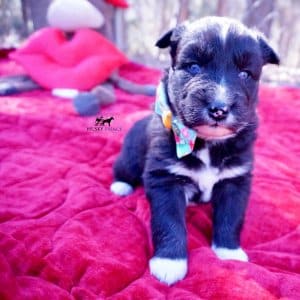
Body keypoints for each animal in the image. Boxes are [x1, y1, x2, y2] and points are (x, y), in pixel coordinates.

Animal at [110, 16, 278, 284]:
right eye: (194, 67)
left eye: (245, 73)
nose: (219, 109)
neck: (206, 142)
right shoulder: (165, 179)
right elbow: (169, 222)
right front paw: (170, 262)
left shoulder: (236, 180)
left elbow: (231, 216)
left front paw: (229, 251)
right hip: (131, 157)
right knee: (122, 169)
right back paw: (120, 186)